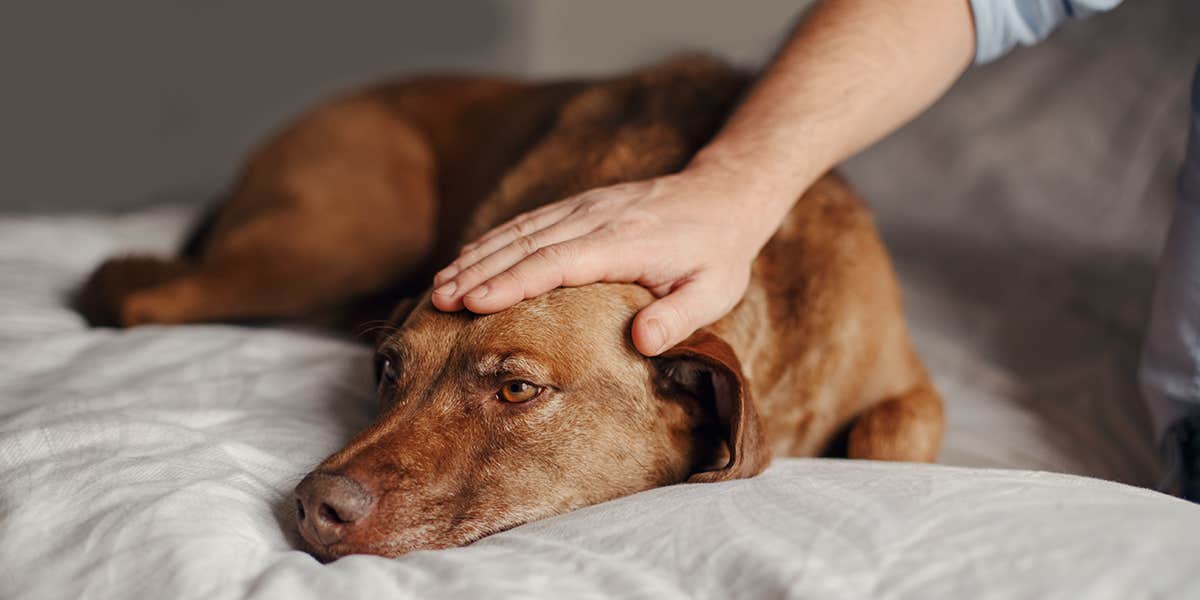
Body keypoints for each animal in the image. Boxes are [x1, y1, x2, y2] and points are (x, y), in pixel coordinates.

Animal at [75, 54, 940, 559]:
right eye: (387, 369)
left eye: (518, 389)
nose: (314, 506)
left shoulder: (908, 383)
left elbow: (892, 434)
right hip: (340, 237)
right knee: (138, 291)